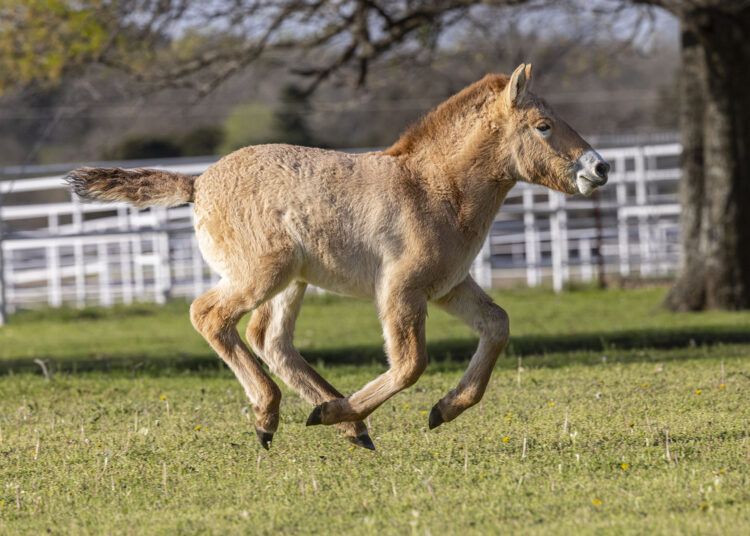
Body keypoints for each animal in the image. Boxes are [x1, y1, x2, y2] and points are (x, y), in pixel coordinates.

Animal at [66, 63, 609, 451]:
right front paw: (352, 412)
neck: (434, 188)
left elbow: (497, 326)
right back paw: (277, 414)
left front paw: (444, 409)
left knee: (269, 339)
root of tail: (198, 184)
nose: (599, 168)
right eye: (543, 126)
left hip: (293, 282)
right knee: (210, 316)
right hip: (264, 274)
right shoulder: (400, 290)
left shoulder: (449, 286)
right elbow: (410, 364)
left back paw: (344, 424)